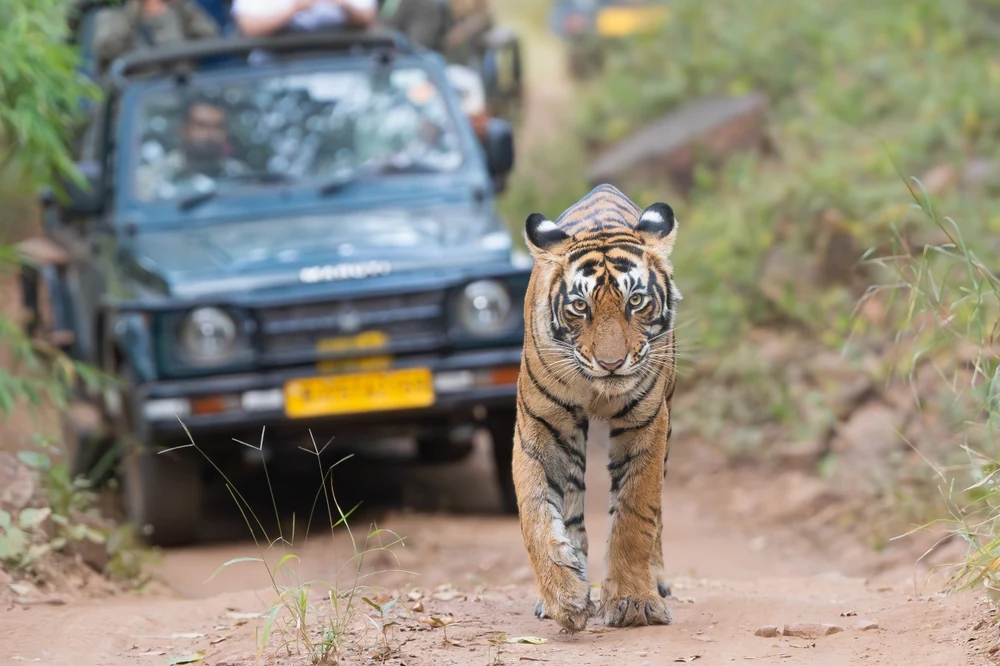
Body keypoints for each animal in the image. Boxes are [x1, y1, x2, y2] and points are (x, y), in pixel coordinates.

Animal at [512, 183, 681, 633]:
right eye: (579, 307)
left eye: (635, 301)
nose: (611, 363)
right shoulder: (540, 427)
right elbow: (536, 514)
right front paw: (564, 597)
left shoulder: (647, 423)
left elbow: (635, 514)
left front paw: (633, 603)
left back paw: (656, 580)